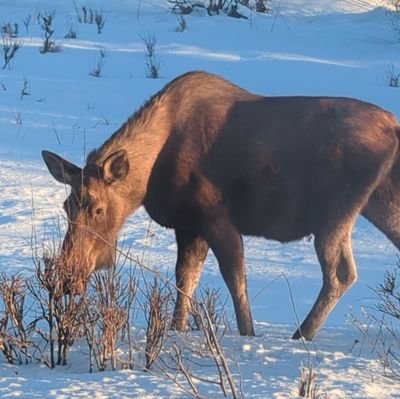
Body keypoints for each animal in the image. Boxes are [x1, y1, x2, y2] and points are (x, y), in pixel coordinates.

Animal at [41, 71, 400, 340]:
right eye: (66, 206)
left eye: (98, 208)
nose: (67, 280)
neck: (148, 176)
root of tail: (394, 128)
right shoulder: (189, 226)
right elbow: (186, 280)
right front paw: (177, 328)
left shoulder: (215, 218)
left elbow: (235, 280)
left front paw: (247, 334)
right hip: (380, 202)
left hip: (333, 213)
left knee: (341, 273)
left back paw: (302, 334)